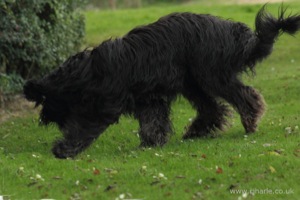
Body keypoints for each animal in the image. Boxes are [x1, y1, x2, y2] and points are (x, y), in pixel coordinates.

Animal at [22, 5, 300, 159]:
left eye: (46, 102)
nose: (43, 119)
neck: (85, 74)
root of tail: (236, 34)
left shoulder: (107, 103)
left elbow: (85, 127)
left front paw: (64, 149)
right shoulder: (149, 97)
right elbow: (152, 121)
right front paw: (152, 142)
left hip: (211, 74)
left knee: (244, 95)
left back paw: (250, 120)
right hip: (192, 82)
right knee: (212, 108)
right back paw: (195, 131)